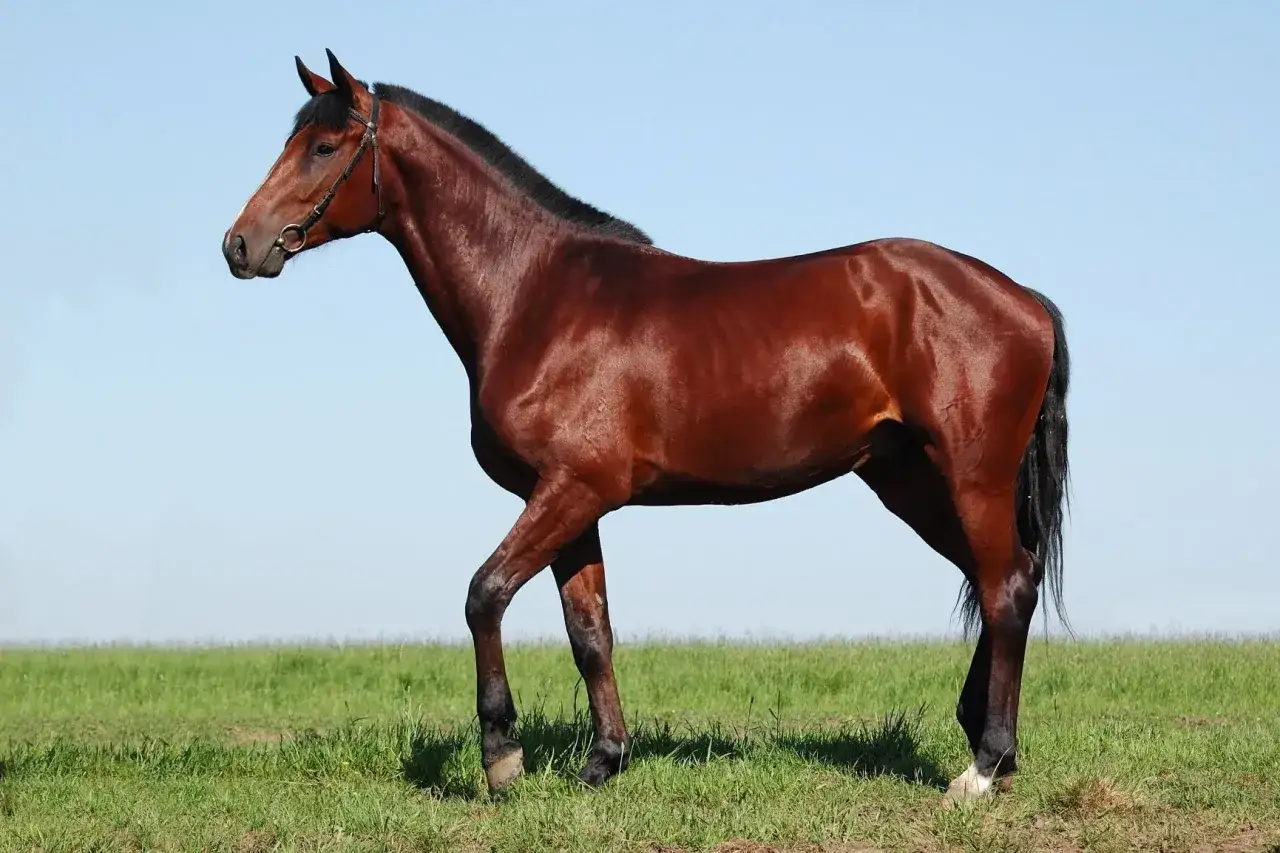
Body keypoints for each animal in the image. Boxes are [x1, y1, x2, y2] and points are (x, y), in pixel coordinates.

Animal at [221, 49, 1071, 803]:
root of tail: (1023, 297)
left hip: (970, 476)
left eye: (323, 146)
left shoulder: (572, 488)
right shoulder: (572, 500)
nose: (239, 244)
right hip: (906, 479)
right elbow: (589, 630)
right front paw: (602, 762)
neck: (535, 296)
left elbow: (484, 594)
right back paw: (992, 747)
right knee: (1005, 580)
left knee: (1004, 588)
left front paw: (503, 757)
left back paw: (981, 768)